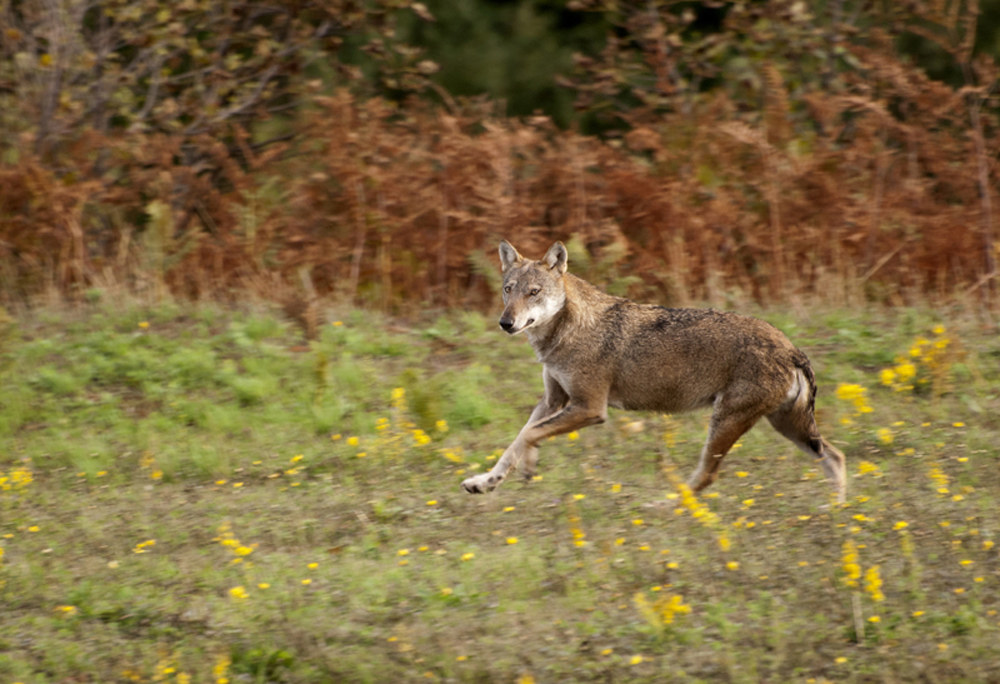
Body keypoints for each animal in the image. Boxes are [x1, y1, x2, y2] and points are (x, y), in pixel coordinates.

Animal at [461, 240, 847, 503]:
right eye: (508, 290)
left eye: (534, 292)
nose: (506, 323)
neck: (565, 332)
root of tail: (792, 348)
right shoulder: (552, 401)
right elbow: (517, 439)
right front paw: (486, 481)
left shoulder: (589, 408)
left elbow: (528, 435)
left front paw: (526, 466)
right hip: (787, 426)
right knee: (836, 457)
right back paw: (837, 517)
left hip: (728, 423)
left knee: (705, 477)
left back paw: (663, 505)